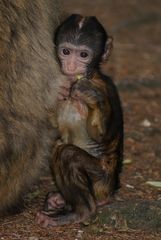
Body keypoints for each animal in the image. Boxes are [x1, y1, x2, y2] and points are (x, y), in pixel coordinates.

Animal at [36, 13, 123, 227]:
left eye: (83, 55)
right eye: (66, 52)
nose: (71, 65)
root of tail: (110, 191)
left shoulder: (107, 87)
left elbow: (103, 136)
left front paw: (89, 94)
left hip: (101, 181)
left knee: (66, 153)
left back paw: (81, 212)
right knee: (59, 144)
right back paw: (59, 200)